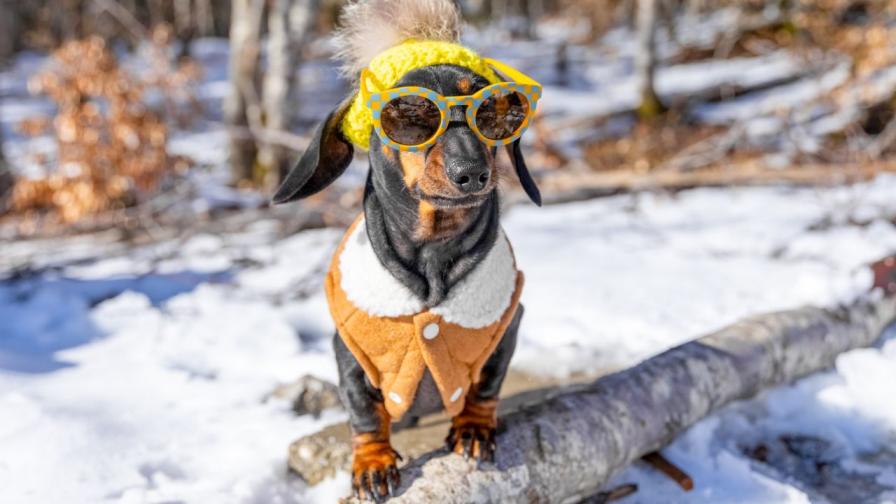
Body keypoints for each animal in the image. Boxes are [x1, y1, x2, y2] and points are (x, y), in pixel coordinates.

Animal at [270, 0, 544, 498]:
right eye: (410, 116)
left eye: (493, 112)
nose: (471, 173)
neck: (434, 253)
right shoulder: (349, 351)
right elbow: (363, 411)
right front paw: (372, 463)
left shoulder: (508, 325)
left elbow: (487, 386)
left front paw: (474, 428)